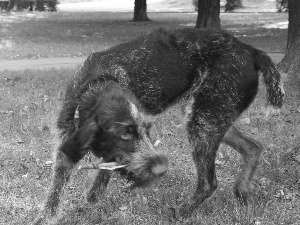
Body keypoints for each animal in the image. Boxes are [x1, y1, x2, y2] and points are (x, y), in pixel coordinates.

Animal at [34, 27, 284, 223]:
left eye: (147, 131)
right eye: (125, 134)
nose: (161, 170)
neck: (94, 85)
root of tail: (250, 50)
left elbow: (103, 172)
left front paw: (93, 195)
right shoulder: (66, 143)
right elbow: (55, 192)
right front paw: (47, 216)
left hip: (204, 122)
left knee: (209, 183)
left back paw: (181, 212)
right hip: (209, 117)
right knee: (253, 148)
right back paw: (242, 193)